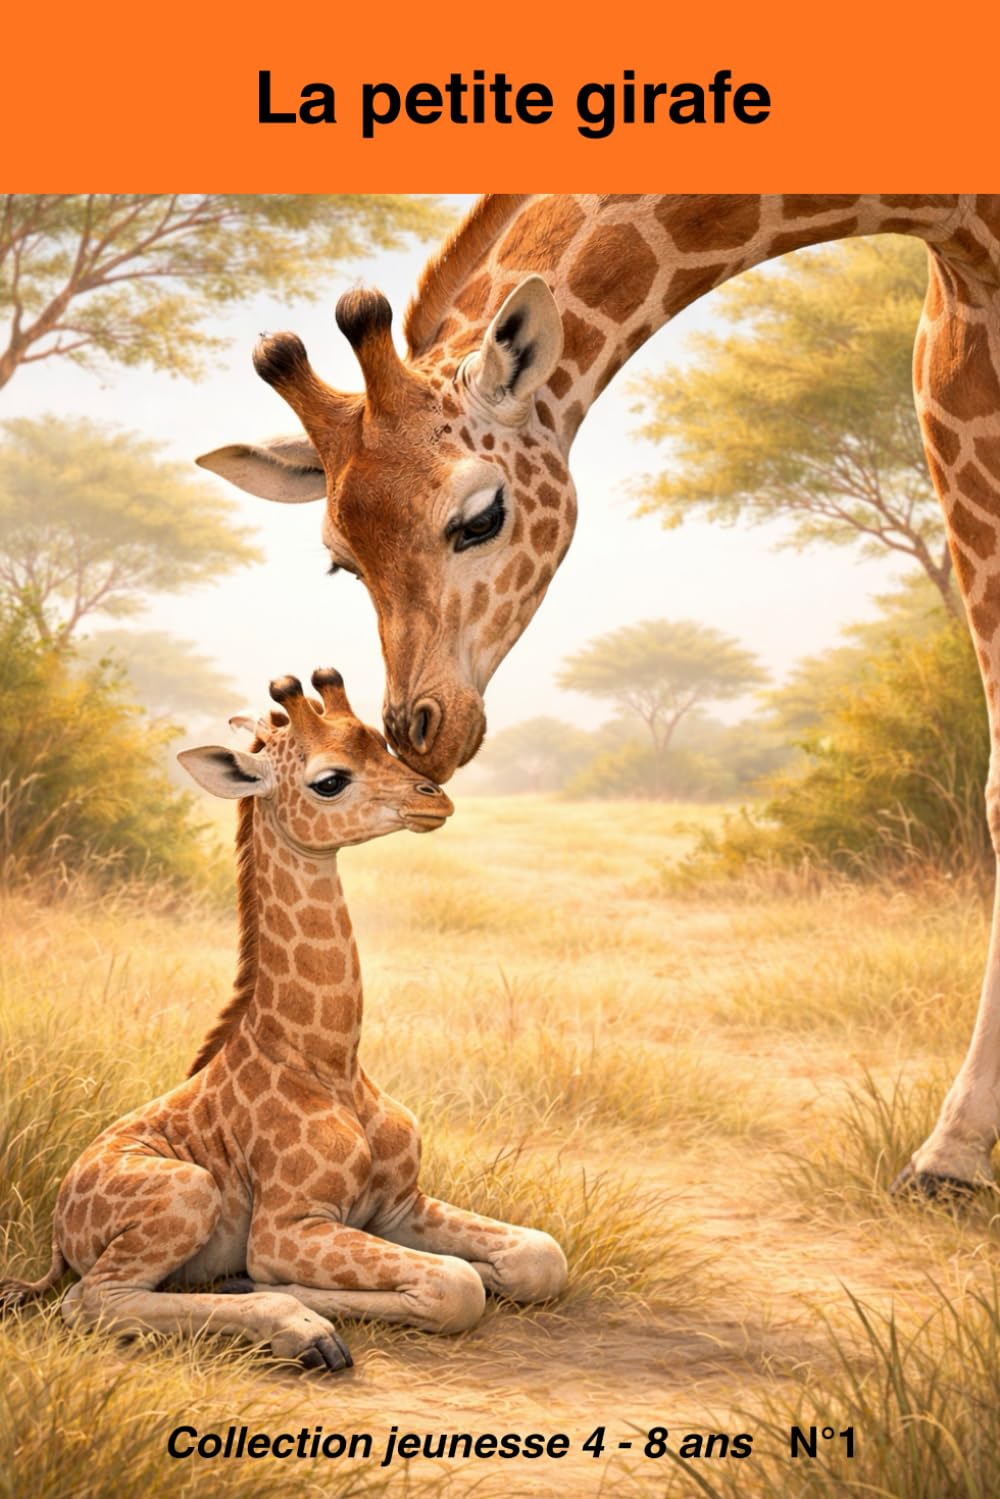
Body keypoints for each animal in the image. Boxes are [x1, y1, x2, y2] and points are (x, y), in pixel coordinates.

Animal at [0, 669, 567, 1367]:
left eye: (384, 743)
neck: (331, 1060)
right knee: (93, 1301)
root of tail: (57, 1227)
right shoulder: (288, 1225)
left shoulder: (398, 1203)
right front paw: (282, 1294)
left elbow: (539, 1255)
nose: (435, 799)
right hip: (187, 1192)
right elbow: (453, 1284)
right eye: (329, 780)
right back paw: (302, 1332)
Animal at [198, 194, 1000, 1197]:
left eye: (481, 516)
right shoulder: (955, 371)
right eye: (341, 560)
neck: (951, 220)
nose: (421, 733)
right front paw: (954, 1158)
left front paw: (953, 1155)